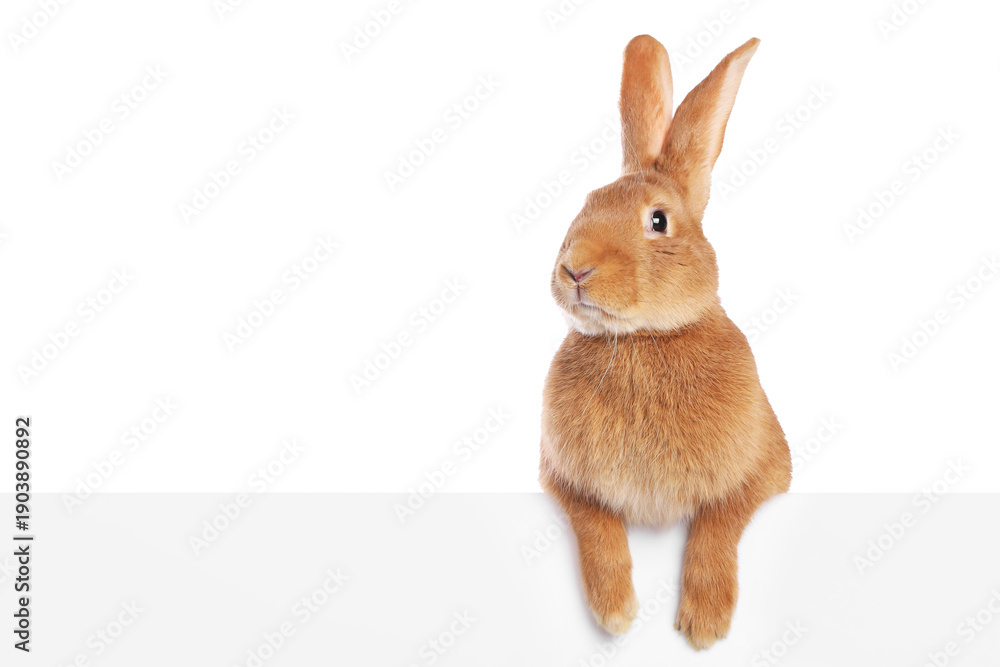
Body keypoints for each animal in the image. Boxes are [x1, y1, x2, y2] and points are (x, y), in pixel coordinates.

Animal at [539, 35, 791, 651]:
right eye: (586, 203)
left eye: (658, 221)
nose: (574, 268)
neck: (642, 339)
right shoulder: (566, 479)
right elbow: (598, 528)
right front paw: (615, 613)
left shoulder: (761, 467)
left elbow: (718, 524)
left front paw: (705, 621)